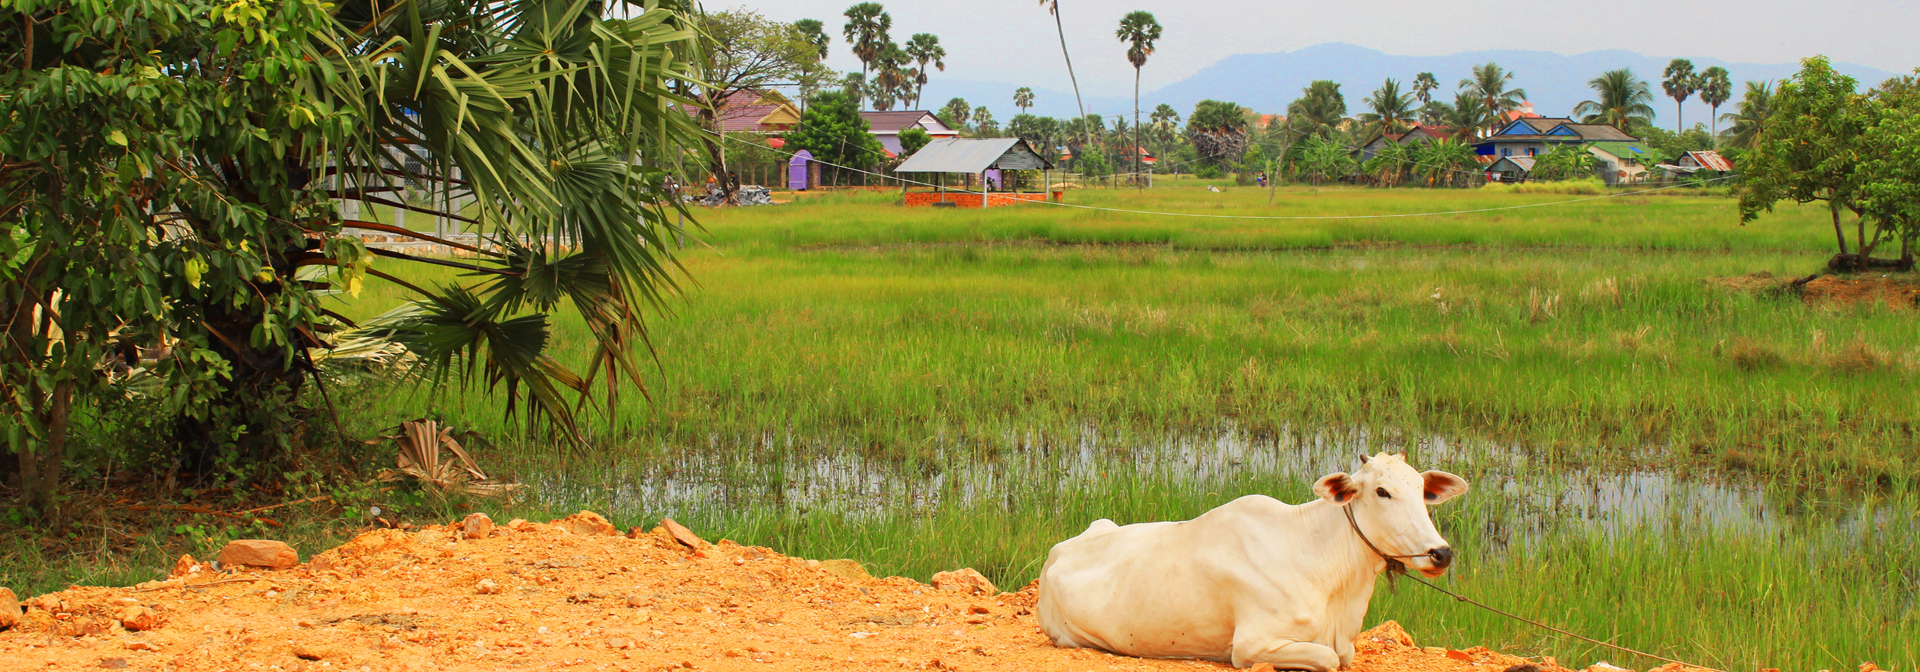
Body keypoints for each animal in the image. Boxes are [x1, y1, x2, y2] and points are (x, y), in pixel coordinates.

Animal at [1044, 455, 1459, 668]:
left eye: (1422, 490)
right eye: (1382, 491)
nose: (1441, 552)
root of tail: (1056, 553)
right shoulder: (1251, 645)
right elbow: (1327, 658)